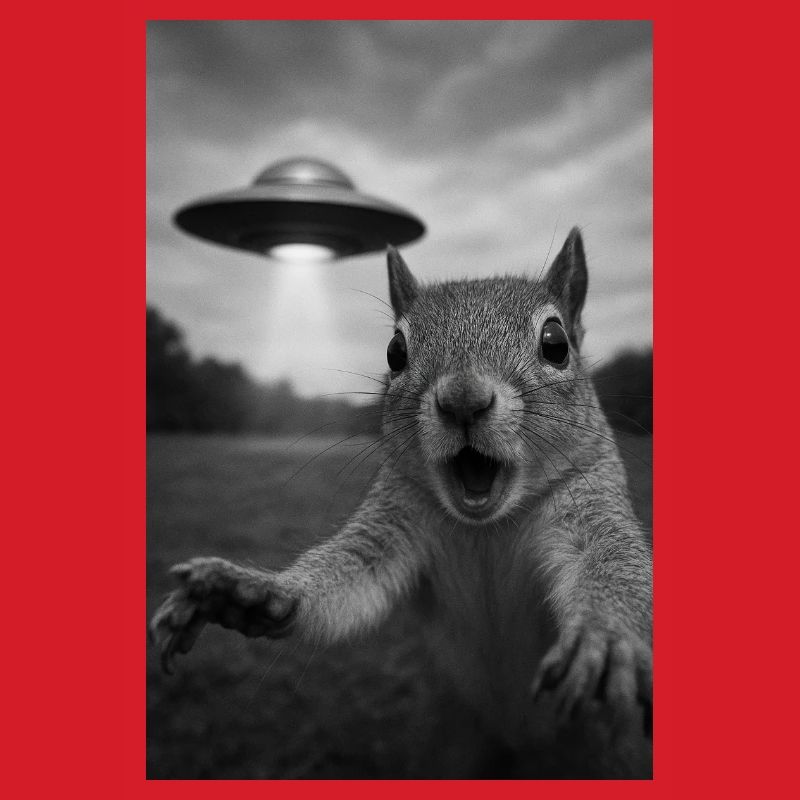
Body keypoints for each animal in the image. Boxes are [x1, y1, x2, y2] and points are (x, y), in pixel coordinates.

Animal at [149, 227, 653, 778]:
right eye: (394, 351)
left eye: (556, 344)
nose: (463, 400)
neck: (487, 527)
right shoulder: (393, 519)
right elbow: (349, 579)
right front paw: (250, 591)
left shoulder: (592, 501)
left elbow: (613, 563)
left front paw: (605, 636)